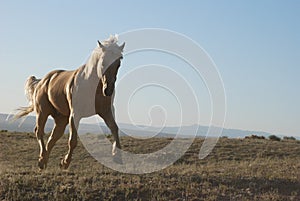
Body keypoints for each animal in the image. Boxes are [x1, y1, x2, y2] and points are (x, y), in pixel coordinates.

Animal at [14, 36, 125, 170]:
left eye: (119, 63)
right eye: (103, 62)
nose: (108, 90)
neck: (92, 87)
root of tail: (42, 81)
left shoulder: (106, 112)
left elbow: (114, 128)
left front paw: (117, 157)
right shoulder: (75, 115)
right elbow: (72, 140)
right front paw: (65, 162)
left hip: (61, 119)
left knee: (53, 137)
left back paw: (43, 160)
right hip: (43, 112)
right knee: (39, 132)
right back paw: (42, 160)